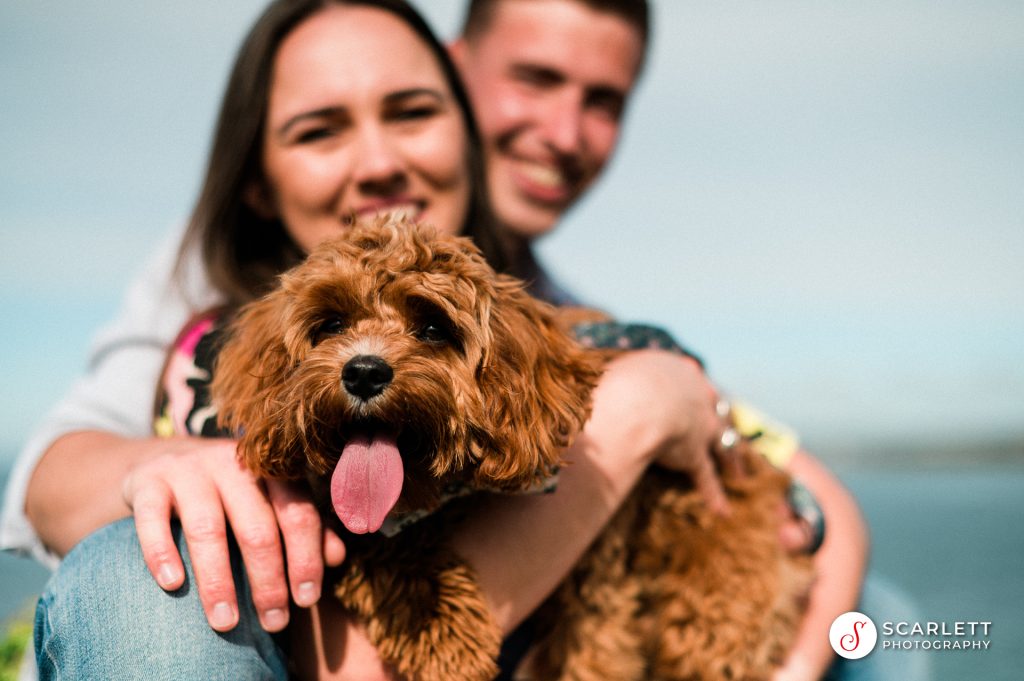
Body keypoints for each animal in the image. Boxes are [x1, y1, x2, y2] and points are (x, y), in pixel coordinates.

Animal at [211, 220, 811, 675]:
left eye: (433, 327)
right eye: (331, 322)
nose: (362, 371)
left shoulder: (597, 590)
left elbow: (590, 657)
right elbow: (374, 542)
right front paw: (443, 630)